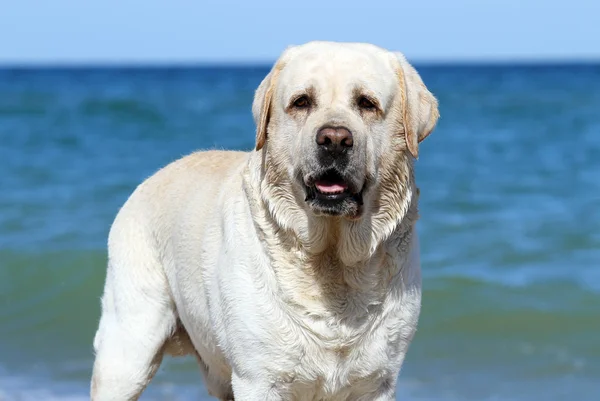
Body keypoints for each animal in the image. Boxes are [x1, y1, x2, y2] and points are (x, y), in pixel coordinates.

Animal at [91, 41, 438, 400]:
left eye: (367, 103)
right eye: (302, 102)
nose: (334, 140)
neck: (331, 261)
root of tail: (151, 177)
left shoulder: (378, 380)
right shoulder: (258, 378)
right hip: (129, 348)